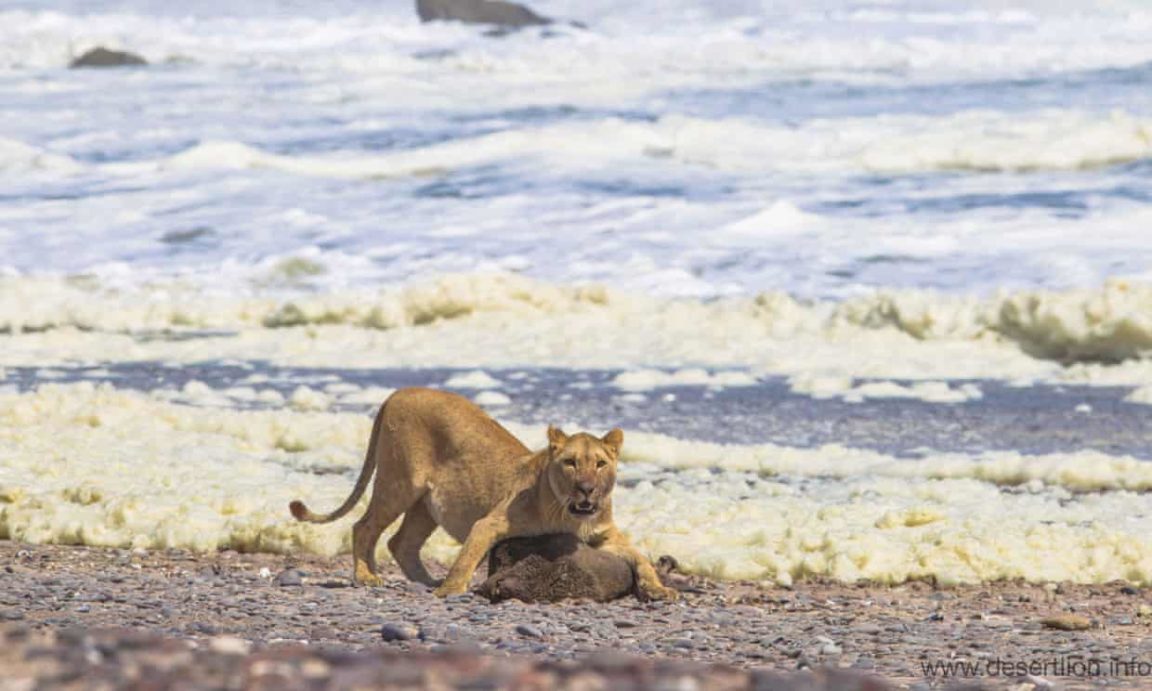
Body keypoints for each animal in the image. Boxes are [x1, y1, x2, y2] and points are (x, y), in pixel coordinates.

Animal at [289, 387, 678, 601]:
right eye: (570, 463)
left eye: (599, 463)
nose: (586, 489)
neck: (573, 515)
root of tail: (398, 392)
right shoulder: (490, 523)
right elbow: (467, 556)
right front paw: (450, 591)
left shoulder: (605, 536)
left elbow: (640, 557)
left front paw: (661, 590)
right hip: (400, 482)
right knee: (364, 526)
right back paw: (367, 576)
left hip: (425, 505)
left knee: (400, 542)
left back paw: (423, 580)